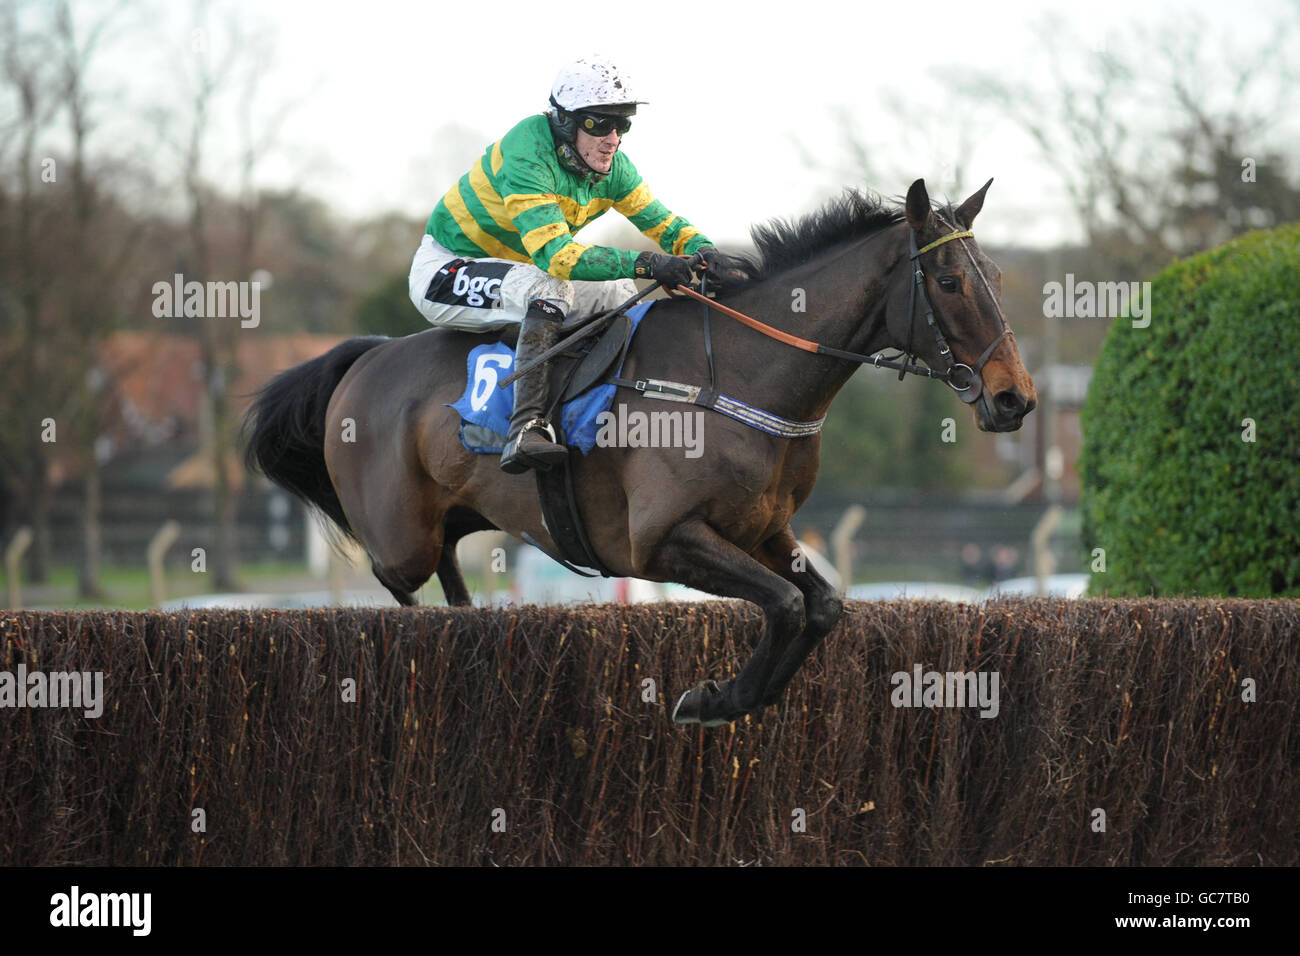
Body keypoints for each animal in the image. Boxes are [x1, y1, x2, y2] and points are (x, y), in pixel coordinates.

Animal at [244, 178, 1034, 723]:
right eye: (951, 282)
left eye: (997, 278)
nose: (1015, 399)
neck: (737, 376)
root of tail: (366, 355)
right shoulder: (660, 540)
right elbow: (783, 604)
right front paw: (711, 698)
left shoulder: (766, 530)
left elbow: (823, 605)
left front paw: (734, 696)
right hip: (401, 526)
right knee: (398, 574)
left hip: (458, 515)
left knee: (445, 566)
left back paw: (465, 621)